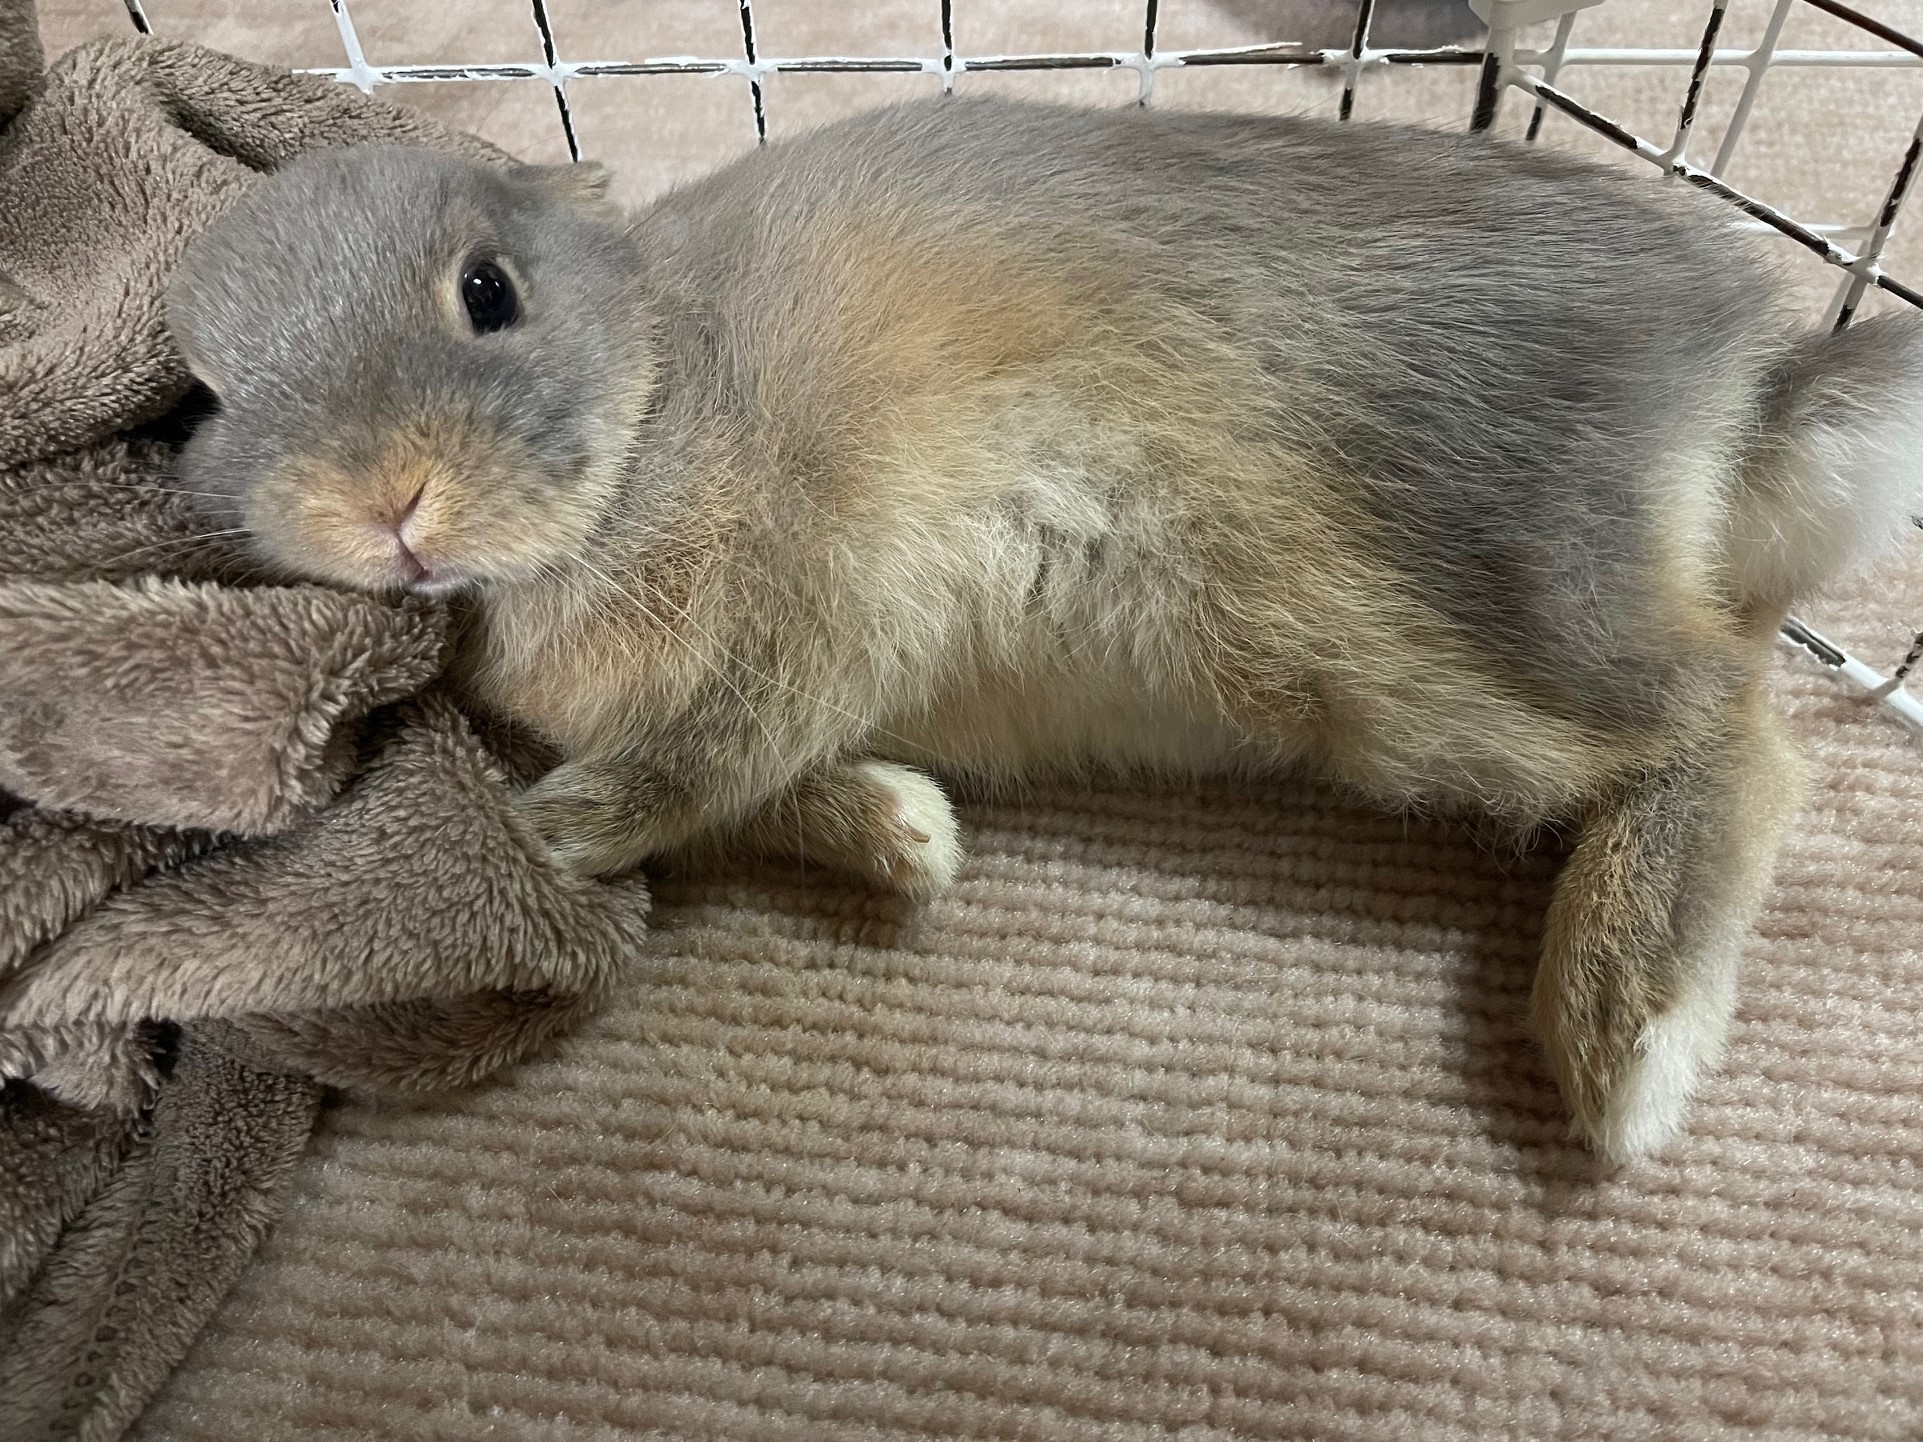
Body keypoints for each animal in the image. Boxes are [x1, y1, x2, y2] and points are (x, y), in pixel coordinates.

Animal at [165, 96, 1923, 1161]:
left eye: (489, 291)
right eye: (207, 392)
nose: (386, 509)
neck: (662, 392)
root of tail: (1745, 389)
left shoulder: (815, 587)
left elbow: (711, 757)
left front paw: (554, 831)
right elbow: (766, 786)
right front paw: (904, 839)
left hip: (1415, 631)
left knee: (1724, 721)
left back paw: (1622, 1048)